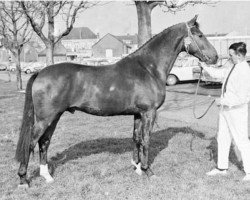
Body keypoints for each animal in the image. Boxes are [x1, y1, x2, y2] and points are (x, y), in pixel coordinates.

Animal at [15, 15, 218, 188]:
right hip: (45, 118)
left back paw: (47, 176)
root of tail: (40, 72)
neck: (148, 68)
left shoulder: (138, 113)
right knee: (31, 143)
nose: (215, 57)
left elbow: (136, 138)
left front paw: (137, 168)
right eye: (200, 35)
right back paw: (23, 179)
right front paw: (148, 171)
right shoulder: (148, 112)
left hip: (54, 117)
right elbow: (146, 139)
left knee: (44, 142)